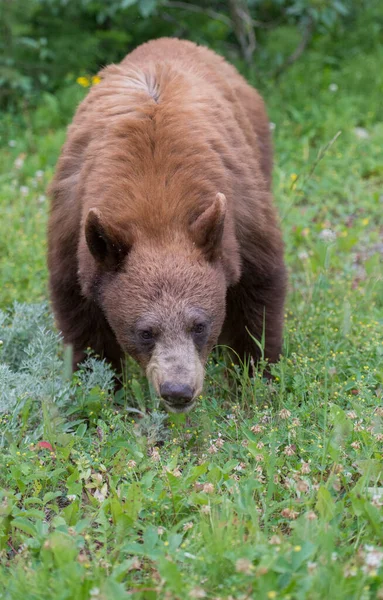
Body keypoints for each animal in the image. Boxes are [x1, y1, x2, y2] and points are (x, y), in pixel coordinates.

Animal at [48, 36, 286, 412]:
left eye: (199, 324)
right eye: (145, 331)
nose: (178, 391)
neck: (156, 200)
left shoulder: (242, 215)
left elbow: (258, 291)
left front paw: (254, 380)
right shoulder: (73, 228)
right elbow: (81, 317)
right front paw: (100, 394)